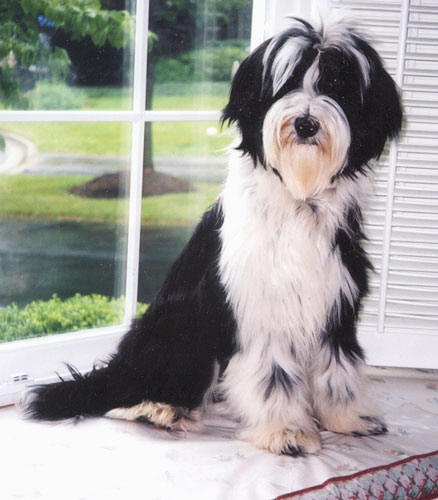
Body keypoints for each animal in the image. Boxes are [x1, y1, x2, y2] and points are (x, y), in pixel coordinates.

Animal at [23, 16, 400, 458]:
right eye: (287, 82)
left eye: (336, 84)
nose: (305, 124)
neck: (298, 200)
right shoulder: (262, 307)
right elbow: (274, 375)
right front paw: (286, 431)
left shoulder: (336, 303)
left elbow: (338, 367)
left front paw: (348, 418)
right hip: (179, 332)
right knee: (120, 395)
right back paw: (161, 409)